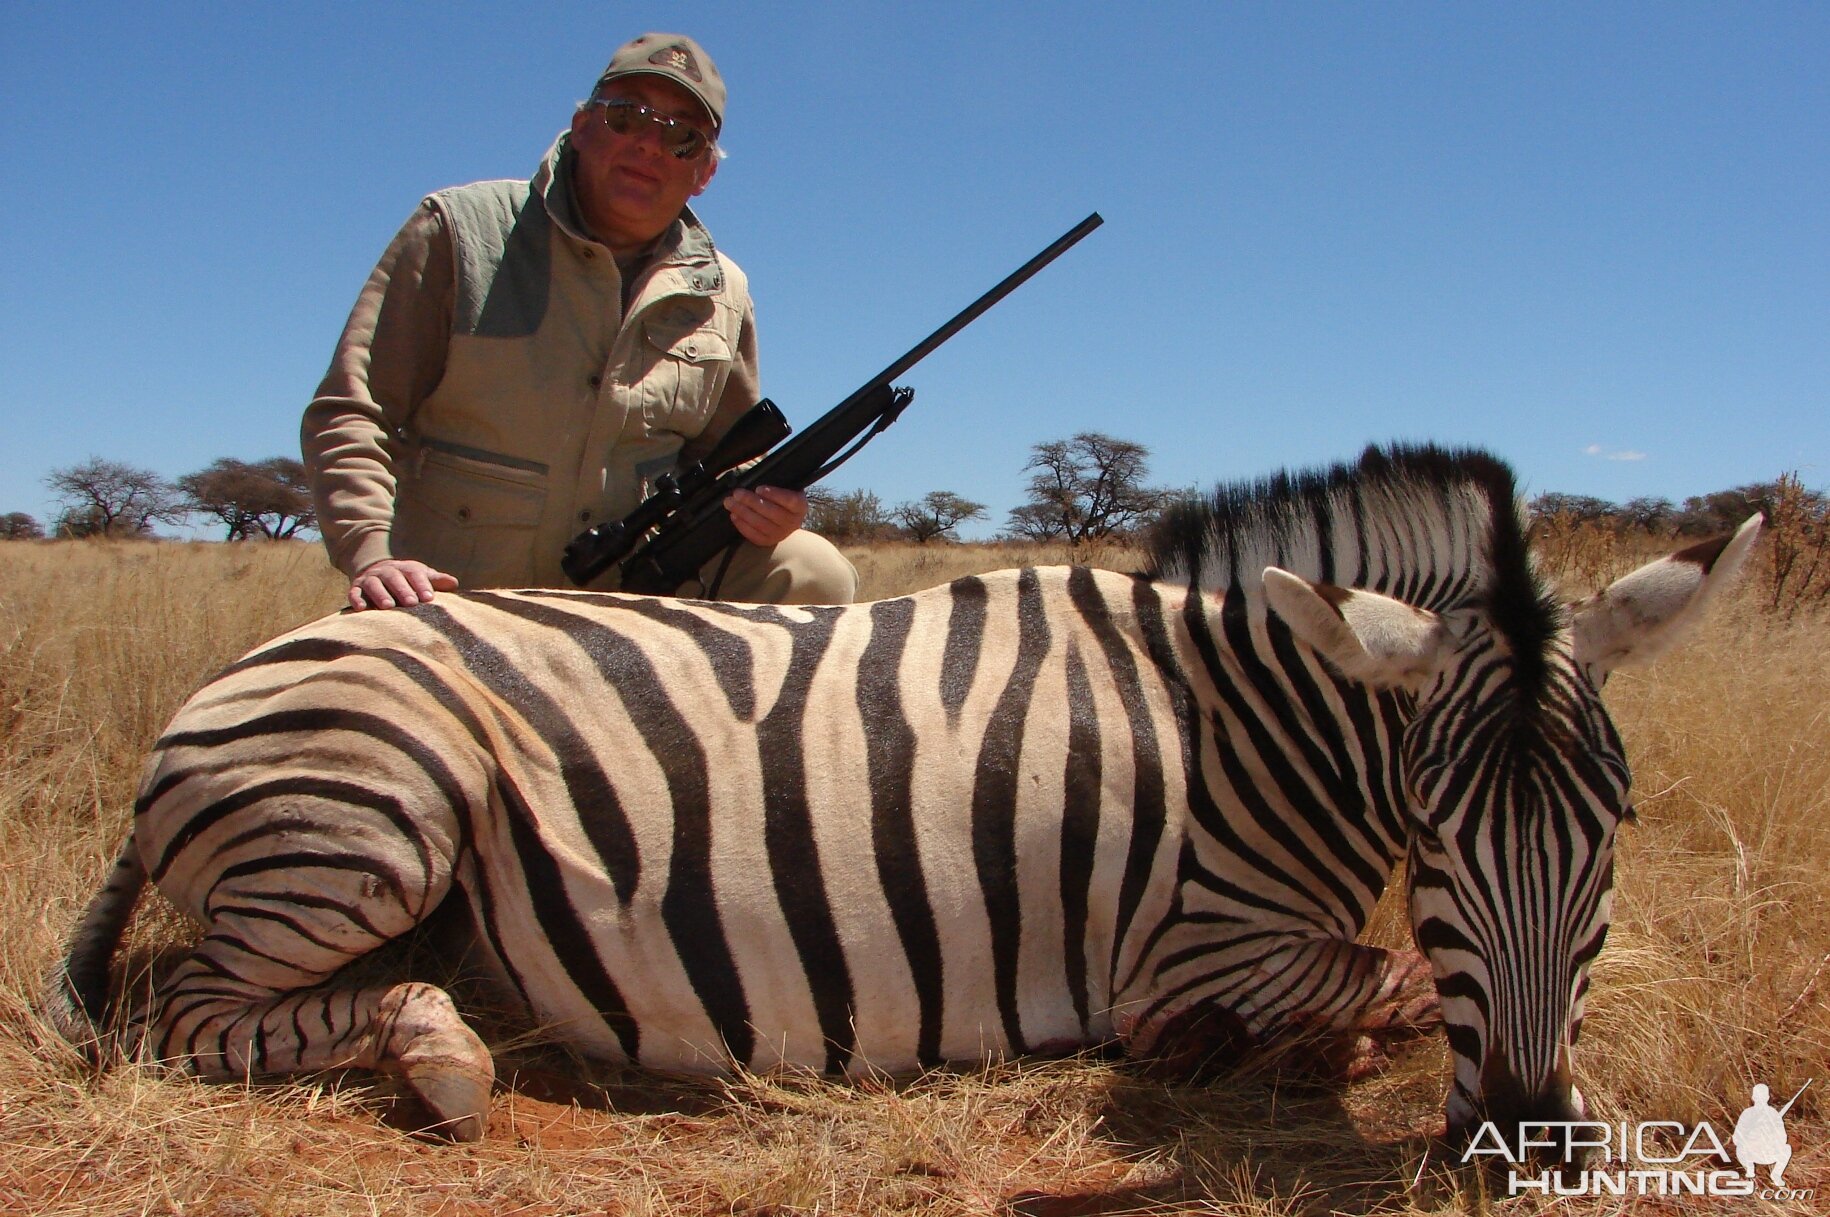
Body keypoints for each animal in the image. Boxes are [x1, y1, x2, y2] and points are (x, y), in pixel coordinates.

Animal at [46, 441, 1756, 1141]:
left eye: (1613, 832)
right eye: (1440, 840)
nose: (1530, 1137)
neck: (1246, 719)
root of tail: (252, 666)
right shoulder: (1195, 942)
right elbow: (1385, 978)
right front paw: (1205, 1050)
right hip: (371, 817)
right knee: (183, 1011)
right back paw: (441, 1055)